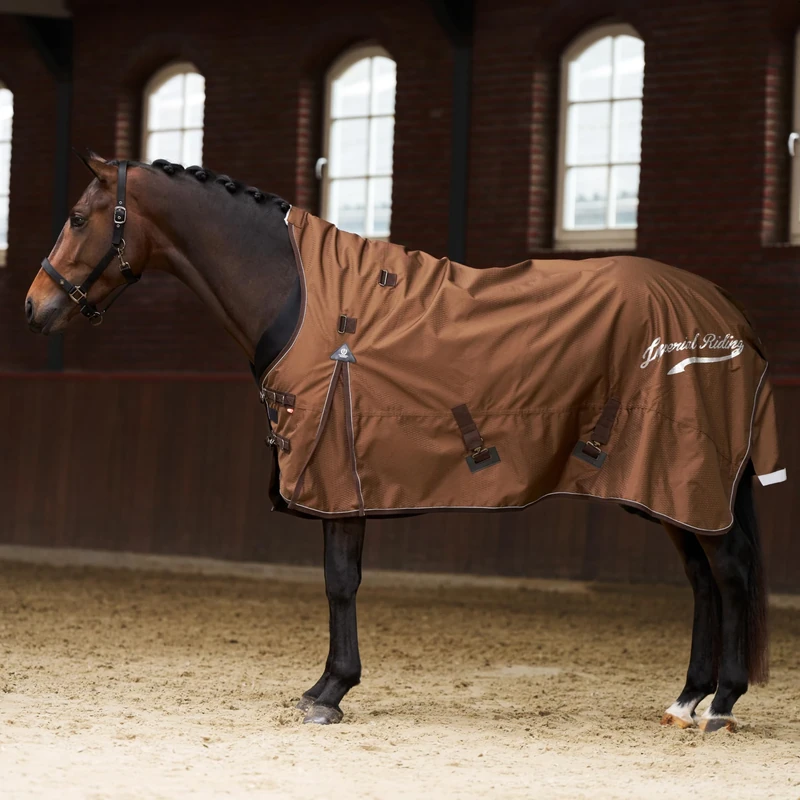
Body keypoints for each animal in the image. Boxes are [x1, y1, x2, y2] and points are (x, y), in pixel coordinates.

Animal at [25, 152, 779, 731]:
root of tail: (726, 311)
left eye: (78, 218)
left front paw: (330, 692)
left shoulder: (336, 477)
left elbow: (339, 582)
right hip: (664, 486)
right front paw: (326, 687)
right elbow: (342, 581)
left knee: (730, 572)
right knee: (702, 582)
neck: (299, 297)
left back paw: (722, 704)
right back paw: (686, 699)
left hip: (689, 479)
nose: (36, 306)